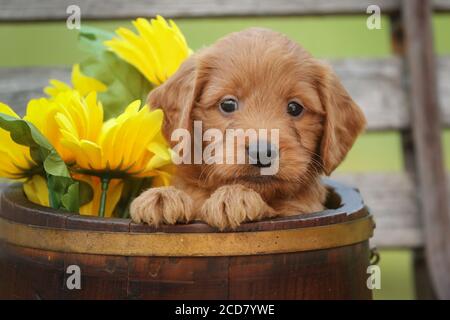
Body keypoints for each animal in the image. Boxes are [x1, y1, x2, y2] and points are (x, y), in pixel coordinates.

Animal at [129, 26, 366, 229]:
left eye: (295, 107)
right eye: (228, 104)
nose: (262, 152)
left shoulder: (301, 210)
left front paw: (235, 197)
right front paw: (163, 196)